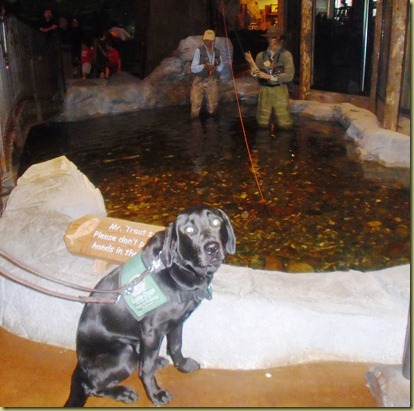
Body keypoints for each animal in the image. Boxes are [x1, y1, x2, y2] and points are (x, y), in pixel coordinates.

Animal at [63, 208, 234, 408]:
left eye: (216, 222)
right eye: (189, 230)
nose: (212, 248)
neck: (176, 269)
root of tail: (80, 364)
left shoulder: (176, 323)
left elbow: (175, 347)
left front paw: (183, 366)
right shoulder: (152, 332)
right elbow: (146, 370)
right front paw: (155, 395)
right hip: (124, 352)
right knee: (92, 386)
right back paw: (123, 393)